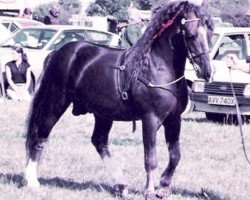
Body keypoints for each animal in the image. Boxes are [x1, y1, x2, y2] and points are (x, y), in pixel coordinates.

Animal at [24, 1, 214, 198]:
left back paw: (120, 184)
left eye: (210, 33)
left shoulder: (174, 119)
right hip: (55, 103)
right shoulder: (150, 119)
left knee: (99, 142)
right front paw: (149, 191)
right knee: (40, 136)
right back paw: (32, 180)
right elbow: (150, 158)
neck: (156, 68)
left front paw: (164, 187)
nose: (207, 71)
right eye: (190, 34)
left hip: (102, 113)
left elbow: (175, 156)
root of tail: (57, 53)